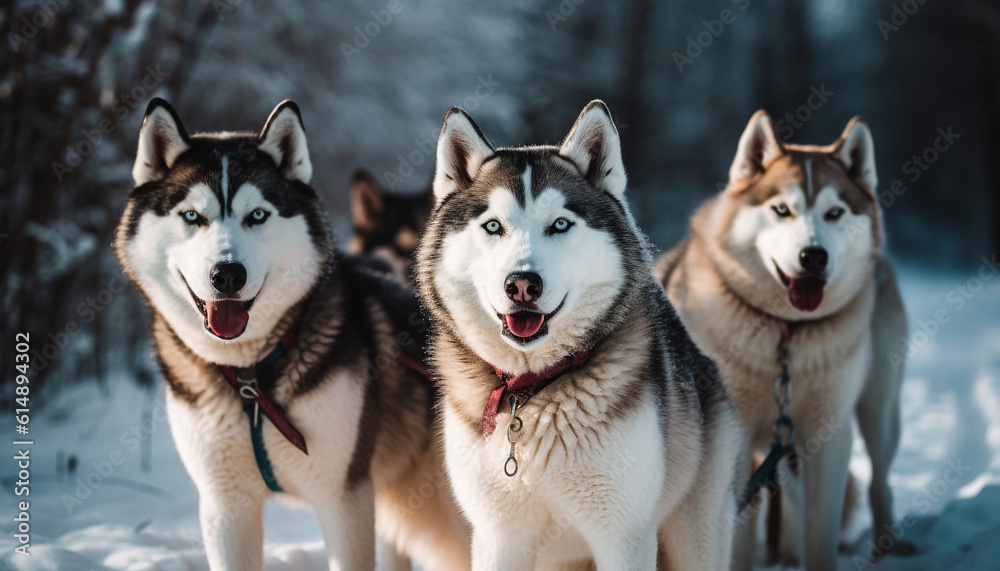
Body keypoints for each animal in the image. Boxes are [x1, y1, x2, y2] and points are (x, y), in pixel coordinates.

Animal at [113, 99, 468, 571]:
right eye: (192, 216)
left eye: (257, 215)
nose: (227, 274)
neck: (251, 376)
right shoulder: (226, 507)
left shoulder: (344, 497)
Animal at [414, 100, 744, 568]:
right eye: (493, 226)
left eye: (560, 224)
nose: (522, 284)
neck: (531, 391)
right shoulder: (498, 536)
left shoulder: (623, 536)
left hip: (696, 530)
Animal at [656, 110, 916, 568]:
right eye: (781, 210)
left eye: (834, 213)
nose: (813, 256)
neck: (785, 338)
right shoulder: (736, 441)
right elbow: (736, 538)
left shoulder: (828, 435)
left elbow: (821, 531)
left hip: (879, 412)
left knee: (877, 481)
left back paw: (884, 547)